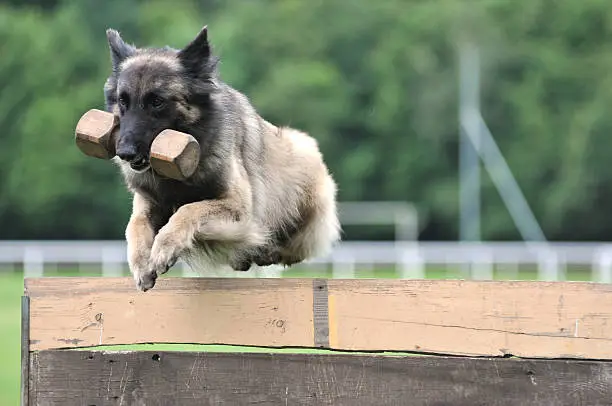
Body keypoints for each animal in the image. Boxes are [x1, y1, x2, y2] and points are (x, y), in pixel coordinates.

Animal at [103, 25, 342, 290]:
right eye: (123, 101)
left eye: (157, 101)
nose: (125, 153)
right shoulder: (148, 203)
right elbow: (134, 226)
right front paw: (141, 264)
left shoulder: (237, 208)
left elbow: (187, 210)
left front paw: (164, 247)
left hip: (301, 162)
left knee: (295, 248)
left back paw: (266, 252)